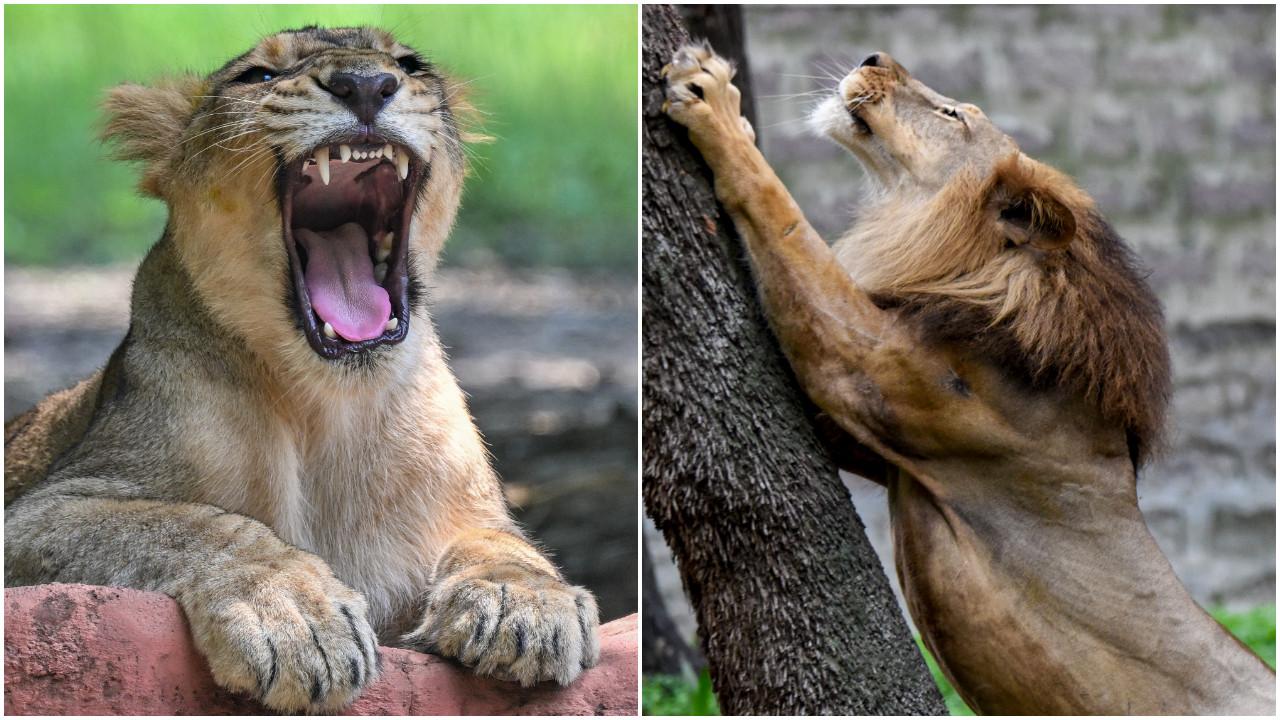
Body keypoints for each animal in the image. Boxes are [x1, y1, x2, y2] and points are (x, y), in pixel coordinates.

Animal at [4, 27, 599, 713]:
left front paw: (522, 603)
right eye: (259, 76)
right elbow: (193, 525)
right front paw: (294, 619)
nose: (366, 84)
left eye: (409, 65)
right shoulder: (38, 514)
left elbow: (504, 543)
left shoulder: (469, 511)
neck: (326, 405)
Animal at [662, 45, 1275, 714]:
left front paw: (712, 102)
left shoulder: (864, 369)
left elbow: (785, 221)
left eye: (952, 114)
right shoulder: (865, 437)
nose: (874, 54)